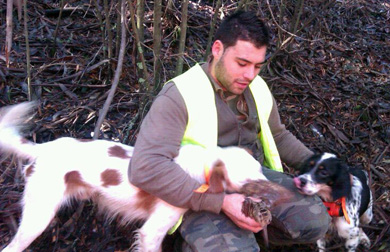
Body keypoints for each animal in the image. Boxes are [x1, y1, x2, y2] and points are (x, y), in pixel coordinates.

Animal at [0, 102, 274, 252]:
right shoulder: (151, 232)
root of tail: (45, 147)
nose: (275, 196)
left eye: (261, 170)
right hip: (36, 218)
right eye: (250, 183)